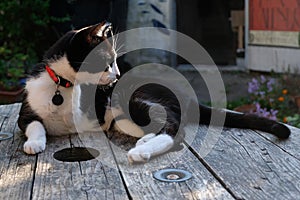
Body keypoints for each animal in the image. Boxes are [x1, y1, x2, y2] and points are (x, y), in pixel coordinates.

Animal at [18, 22, 290, 162]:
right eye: (108, 62)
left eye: (115, 61)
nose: (118, 75)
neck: (62, 84)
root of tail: (186, 95)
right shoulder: (26, 112)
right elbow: (35, 124)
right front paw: (35, 142)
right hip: (122, 118)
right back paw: (144, 141)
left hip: (133, 100)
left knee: (174, 131)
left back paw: (141, 151)